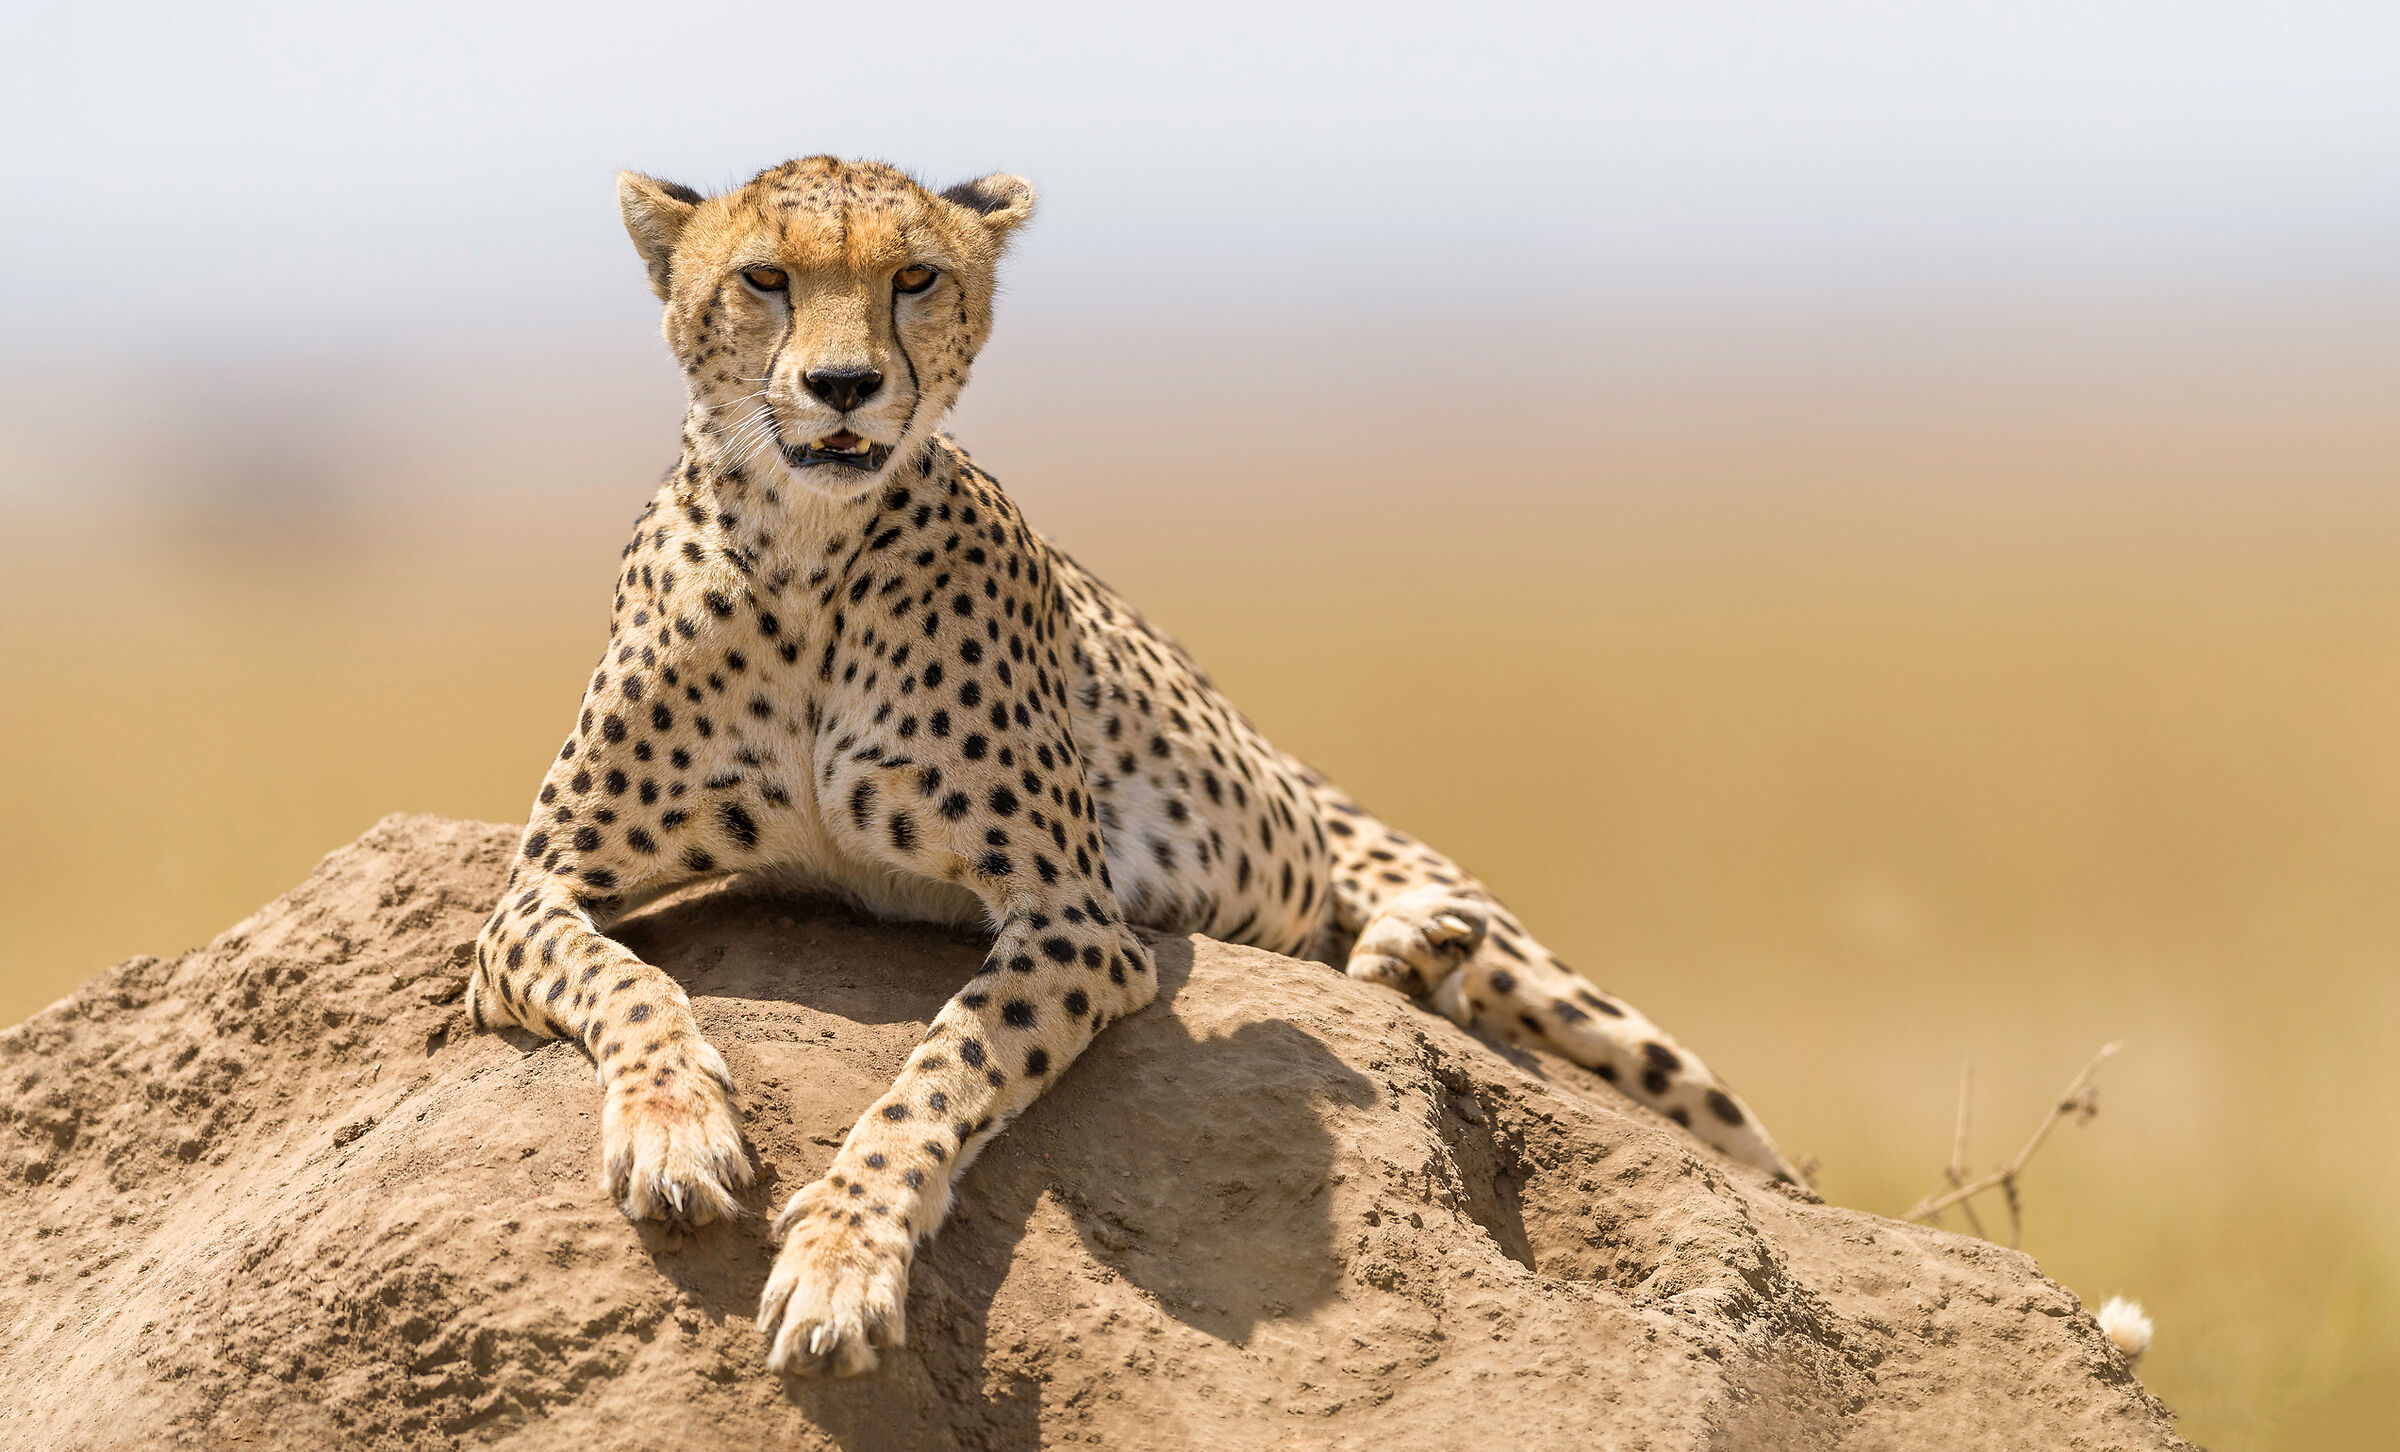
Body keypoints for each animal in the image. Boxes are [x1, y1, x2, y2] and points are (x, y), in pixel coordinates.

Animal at [467, 154, 1804, 1379]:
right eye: (764, 279)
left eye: (915, 278)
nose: (843, 386)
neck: (808, 550)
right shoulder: (530, 897)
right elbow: (626, 981)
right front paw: (674, 1131)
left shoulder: (1077, 920)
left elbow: (932, 1076)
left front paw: (844, 1258)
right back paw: (1409, 958)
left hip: (1566, 994)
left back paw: (1424, 944)